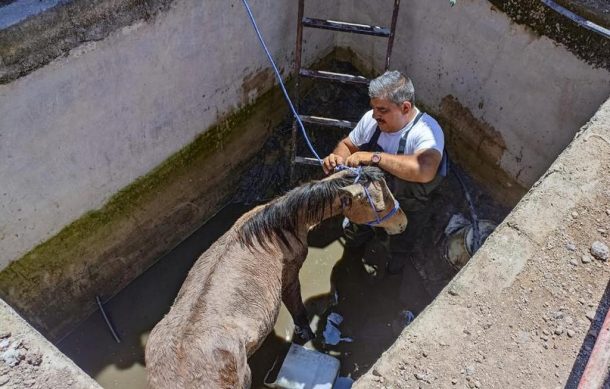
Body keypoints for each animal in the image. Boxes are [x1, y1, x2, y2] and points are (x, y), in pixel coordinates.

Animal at [145, 166, 406, 388]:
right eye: (379, 207)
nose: (402, 225)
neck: (272, 228)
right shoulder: (289, 276)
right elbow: (297, 308)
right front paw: (306, 333)